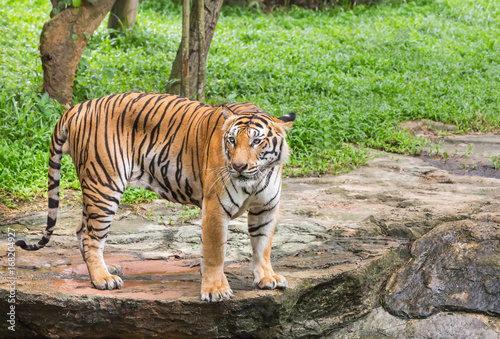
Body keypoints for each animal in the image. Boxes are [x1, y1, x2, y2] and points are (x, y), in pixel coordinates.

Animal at [17, 92, 294, 302]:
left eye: (257, 142)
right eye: (231, 141)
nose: (238, 167)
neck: (257, 177)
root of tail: (77, 108)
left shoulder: (266, 208)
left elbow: (263, 246)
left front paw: (267, 277)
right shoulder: (215, 208)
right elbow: (215, 252)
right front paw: (215, 289)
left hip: (94, 187)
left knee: (80, 230)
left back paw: (105, 269)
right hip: (105, 184)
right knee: (90, 236)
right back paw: (102, 279)